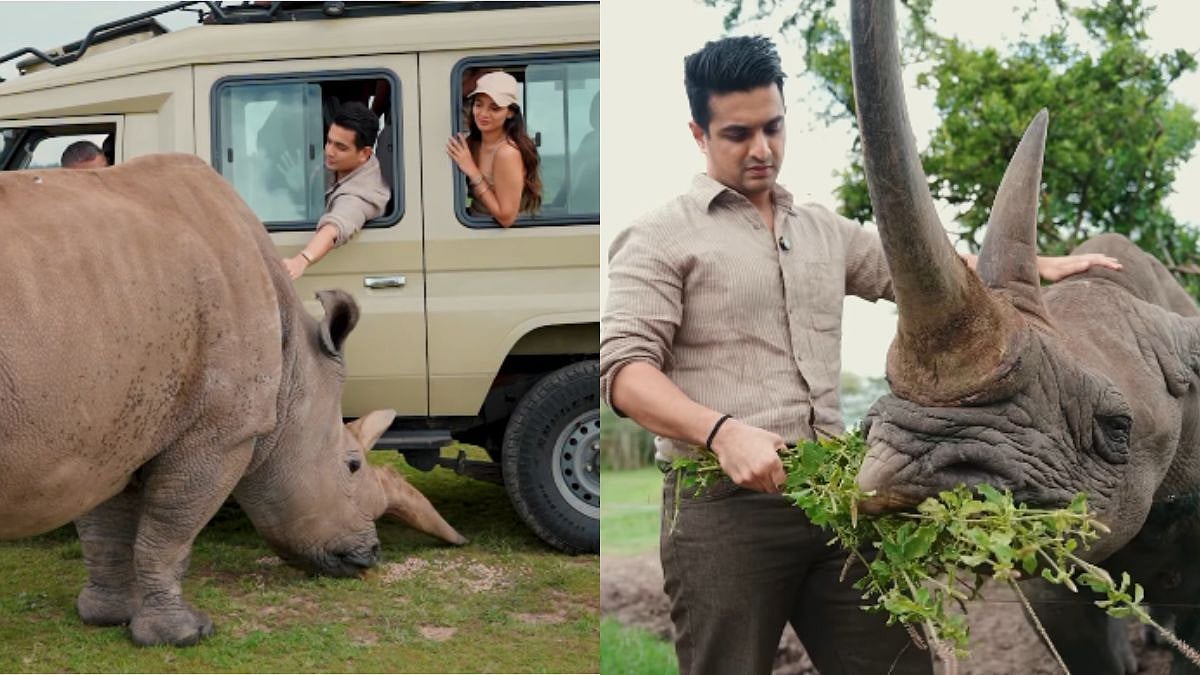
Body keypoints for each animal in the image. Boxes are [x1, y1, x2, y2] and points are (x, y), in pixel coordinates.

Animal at [0, 154, 466, 647]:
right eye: (352, 465)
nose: (371, 554)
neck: (296, 369)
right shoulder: (219, 433)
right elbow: (170, 533)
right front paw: (184, 633)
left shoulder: (109, 429)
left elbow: (105, 529)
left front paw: (107, 616)